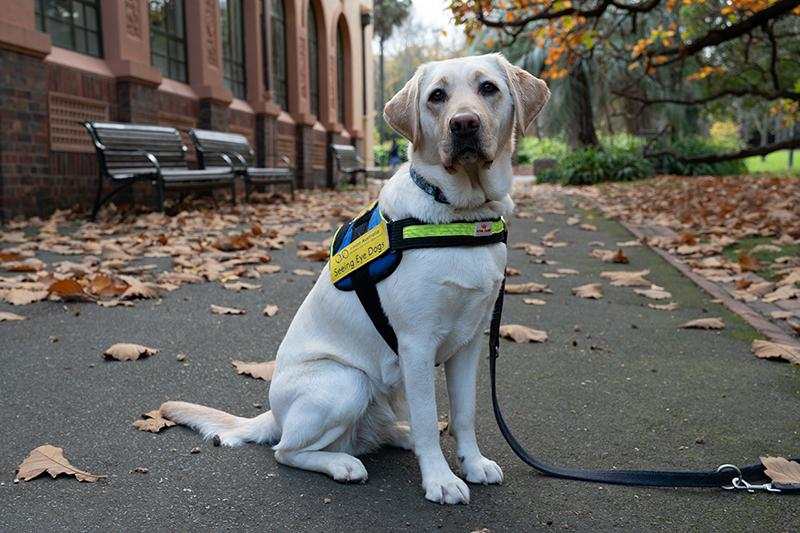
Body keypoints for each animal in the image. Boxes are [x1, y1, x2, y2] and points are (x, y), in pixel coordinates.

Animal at [162, 54, 552, 502]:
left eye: (488, 88)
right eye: (437, 96)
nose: (465, 124)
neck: (461, 216)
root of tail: (275, 414)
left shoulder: (469, 343)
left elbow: (464, 413)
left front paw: (472, 463)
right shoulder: (416, 343)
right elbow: (428, 415)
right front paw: (439, 479)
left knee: (371, 434)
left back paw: (396, 436)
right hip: (346, 382)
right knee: (287, 451)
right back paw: (343, 464)